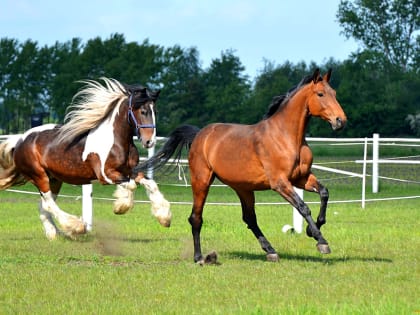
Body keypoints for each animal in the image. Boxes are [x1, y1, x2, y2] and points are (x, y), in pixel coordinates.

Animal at [0, 78, 171, 241]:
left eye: (155, 111)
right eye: (143, 111)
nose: (149, 142)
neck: (115, 141)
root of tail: (20, 140)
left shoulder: (130, 171)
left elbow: (150, 184)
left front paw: (165, 218)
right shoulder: (106, 175)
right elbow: (131, 186)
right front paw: (120, 206)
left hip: (54, 179)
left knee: (44, 206)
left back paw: (55, 234)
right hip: (39, 176)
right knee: (49, 204)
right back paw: (76, 227)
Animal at [139, 68, 346, 264]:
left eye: (335, 93)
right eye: (320, 94)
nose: (340, 121)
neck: (286, 137)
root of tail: (199, 135)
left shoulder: (301, 178)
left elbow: (324, 193)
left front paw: (313, 230)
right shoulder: (280, 183)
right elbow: (303, 207)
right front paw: (321, 241)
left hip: (243, 188)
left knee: (249, 218)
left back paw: (270, 251)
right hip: (202, 182)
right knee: (196, 218)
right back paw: (199, 257)